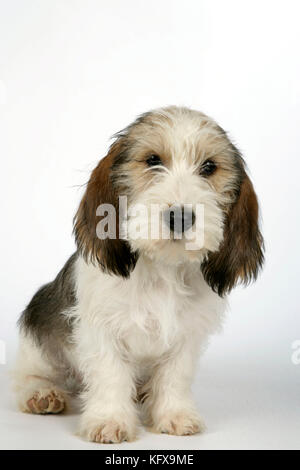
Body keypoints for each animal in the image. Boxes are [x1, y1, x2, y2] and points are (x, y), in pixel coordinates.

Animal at [14, 104, 264, 442]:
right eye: (153, 160)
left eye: (209, 167)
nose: (180, 216)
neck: (162, 270)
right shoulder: (101, 329)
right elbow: (111, 374)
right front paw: (109, 420)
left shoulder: (187, 335)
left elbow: (175, 375)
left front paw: (174, 414)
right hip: (39, 341)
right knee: (28, 375)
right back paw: (41, 394)